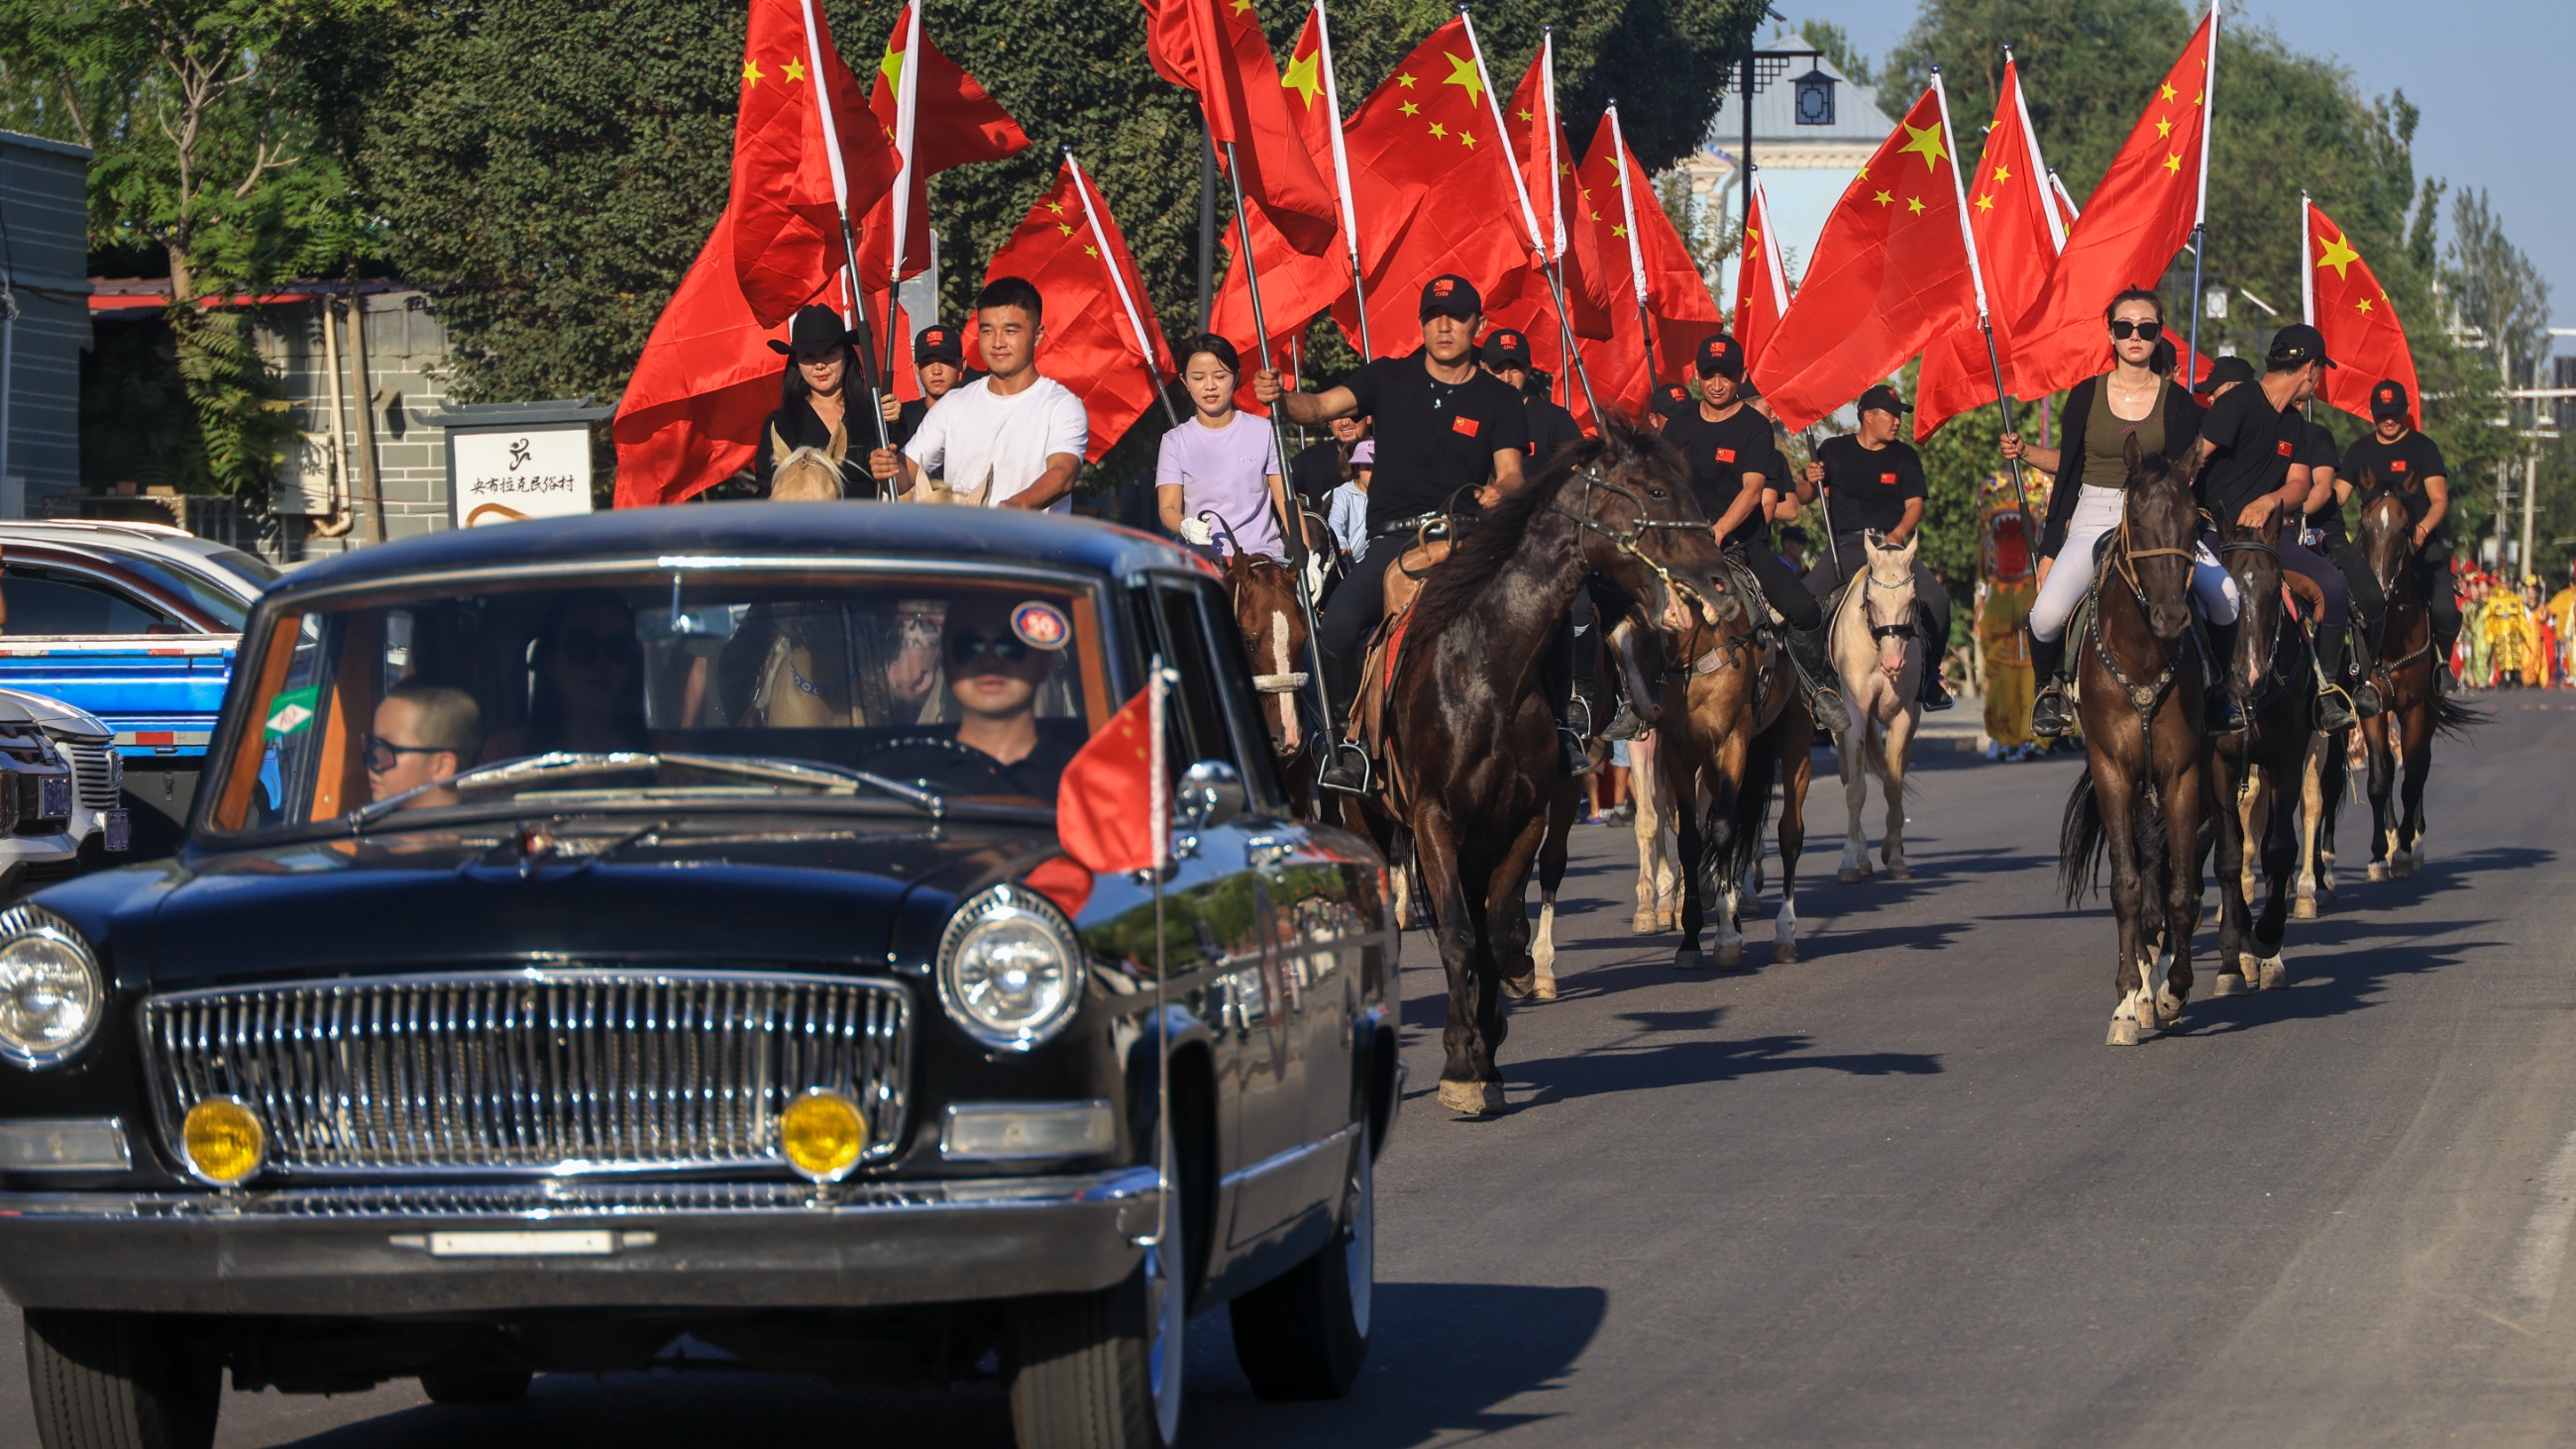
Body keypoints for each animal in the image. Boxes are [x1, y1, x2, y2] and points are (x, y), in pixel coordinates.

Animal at [1361, 418, 1725, 1114]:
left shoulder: (1522, 815)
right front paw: (1460, 1066)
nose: (1719, 580)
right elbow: (1459, 933)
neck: (1486, 671)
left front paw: (1495, 1032)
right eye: (1657, 490)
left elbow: (1498, 928)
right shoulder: (1434, 817)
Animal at [1823, 531, 1924, 884]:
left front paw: (1895, 857)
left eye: (1911, 599)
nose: (1893, 664)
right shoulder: (1853, 714)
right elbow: (1856, 788)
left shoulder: (1904, 717)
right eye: (1873, 601)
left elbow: (1893, 785)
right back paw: (1862, 855)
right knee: (1847, 777)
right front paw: (1850, 860)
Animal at [2057, 438, 2209, 1046]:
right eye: (2138, 520)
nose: (2171, 616)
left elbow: (2182, 889)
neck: (2143, 656)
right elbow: (2126, 886)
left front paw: (2173, 991)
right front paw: (2126, 1001)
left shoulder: (2183, 776)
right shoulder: (2113, 774)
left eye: (2194, 522)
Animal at [2355, 475, 2480, 879]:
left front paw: (2406, 851)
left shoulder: (2414, 708)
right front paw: (2380, 853)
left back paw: (2414, 838)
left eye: (2405, 528)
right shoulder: (2372, 708)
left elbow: (2412, 776)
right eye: (2364, 525)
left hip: (2431, 707)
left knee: (2419, 765)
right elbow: (2380, 778)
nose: (2378, 589)